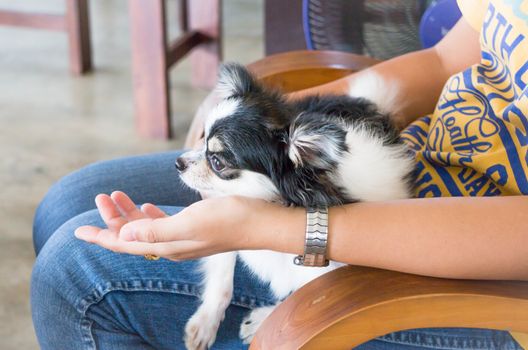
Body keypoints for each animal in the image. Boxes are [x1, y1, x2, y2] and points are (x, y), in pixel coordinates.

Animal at [175, 63, 414, 350]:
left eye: (217, 162)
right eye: (202, 140)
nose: (178, 163)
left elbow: (301, 295)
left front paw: (262, 320)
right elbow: (222, 275)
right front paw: (205, 322)